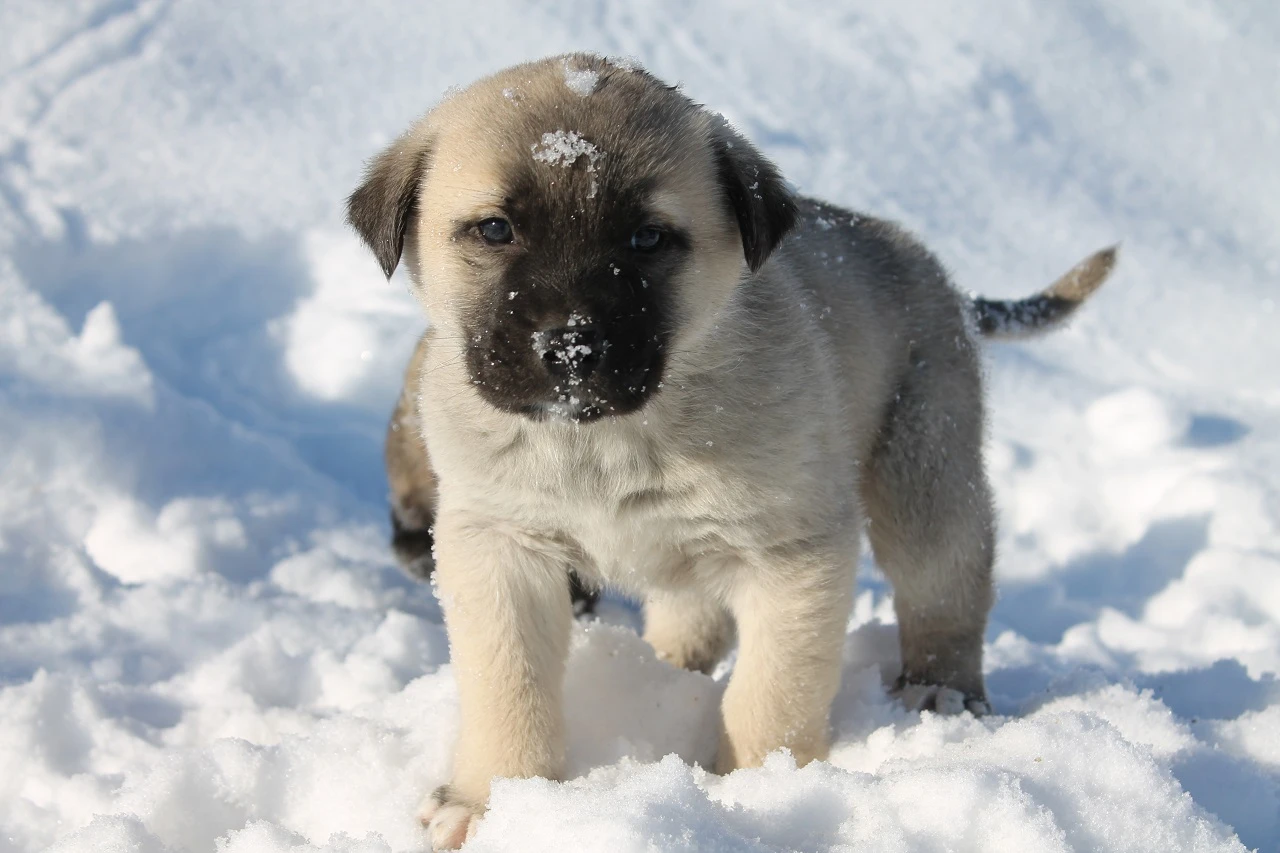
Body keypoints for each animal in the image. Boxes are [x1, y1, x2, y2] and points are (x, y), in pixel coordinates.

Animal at [345, 53, 1116, 845]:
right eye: (495, 229)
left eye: (647, 239)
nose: (571, 347)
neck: (604, 441)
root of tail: (943, 279)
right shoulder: (500, 546)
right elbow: (509, 685)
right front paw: (490, 802)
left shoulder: (794, 556)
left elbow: (770, 694)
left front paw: (760, 793)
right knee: (693, 617)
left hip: (924, 477)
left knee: (945, 589)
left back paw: (940, 693)